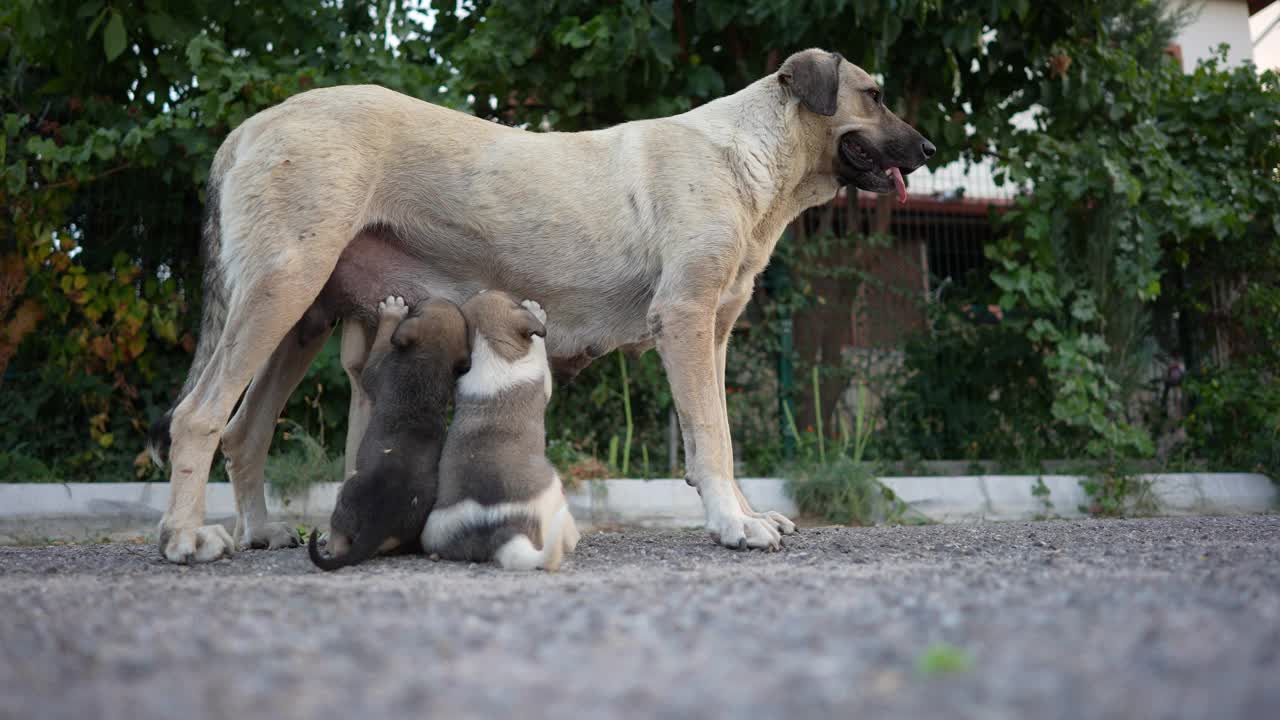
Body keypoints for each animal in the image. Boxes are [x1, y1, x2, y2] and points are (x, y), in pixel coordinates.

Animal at [308, 294, 471, 568]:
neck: (430, 361)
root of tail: (378, 524)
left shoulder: (376, 369)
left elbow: (382, 342)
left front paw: (392, 312)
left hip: (347, 495)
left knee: (341, 538)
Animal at [419, 289, 581, 566]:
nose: (482, 288)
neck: (490, 351)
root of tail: (504, 532)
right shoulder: (542, 381)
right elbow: (540, 352)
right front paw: (536, 310)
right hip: (553, 489)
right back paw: (573, 539)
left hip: (434, 529)